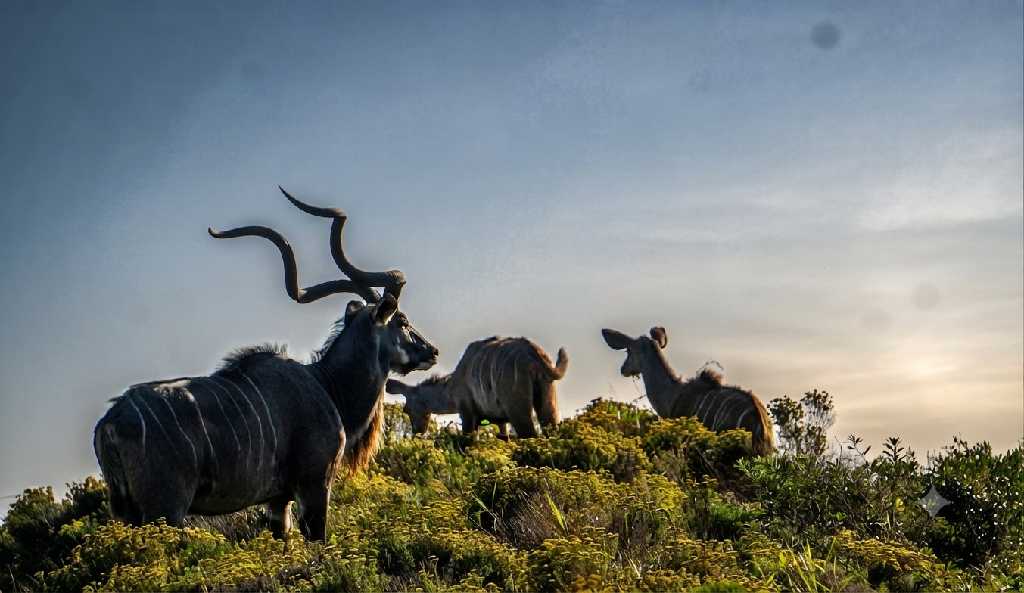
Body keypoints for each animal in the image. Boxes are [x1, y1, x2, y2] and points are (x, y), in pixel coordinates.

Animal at [93, 187, 438, 541]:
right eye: (402, 321)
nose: (432, 351)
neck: (327, 384)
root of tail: (109, 423)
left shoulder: (278, 501)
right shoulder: (315, 484)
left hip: (130, 514)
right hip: (166, 510)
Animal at [386, 337, 567, 437]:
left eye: (406, 410)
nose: (417, 432)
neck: (451, 387)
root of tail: (534, 352)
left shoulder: (467, 413)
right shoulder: (500, 421)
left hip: (518, 410)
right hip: (548, 402)